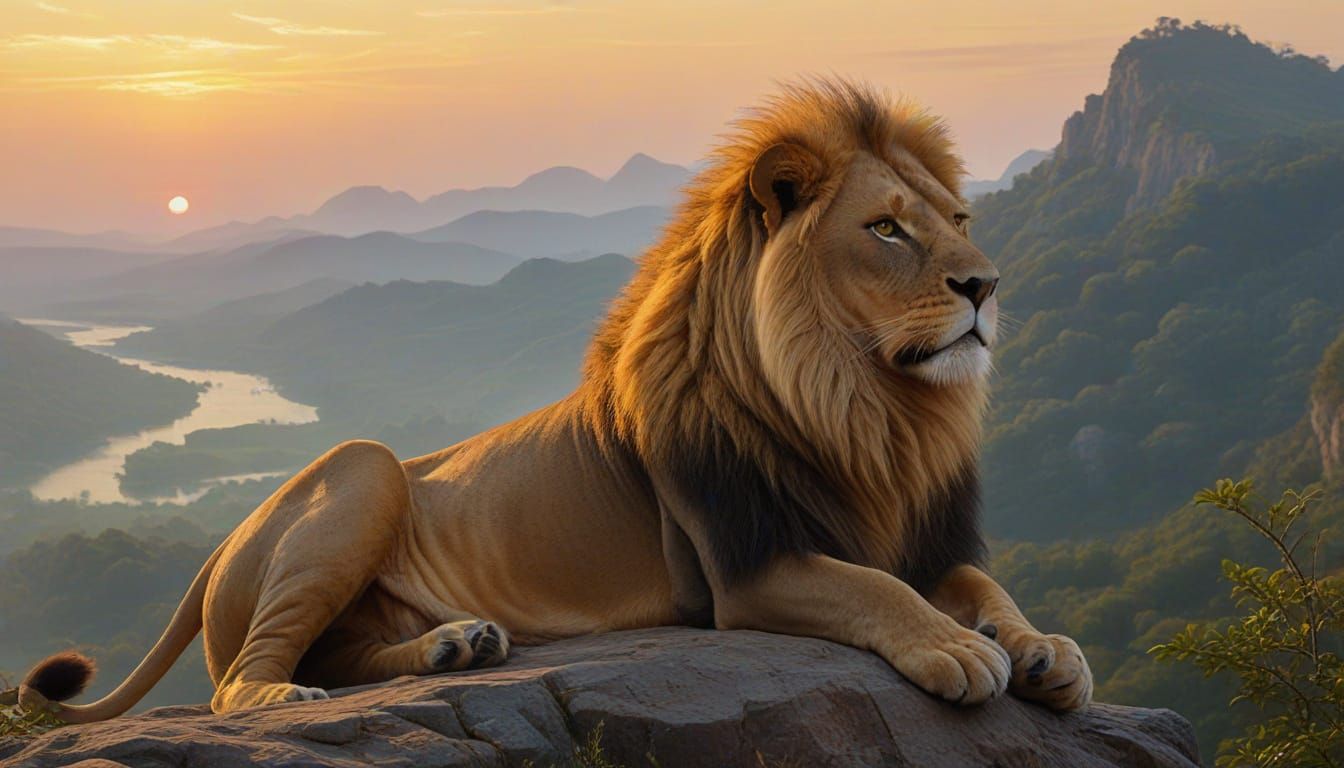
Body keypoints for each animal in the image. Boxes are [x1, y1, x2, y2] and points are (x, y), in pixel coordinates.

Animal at [17, 79, 1092, 723]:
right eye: (886, 230)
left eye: (958, 219)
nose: (987, 285)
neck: (869, 406)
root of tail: (222, 542)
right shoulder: (745, 570)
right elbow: (878, 591)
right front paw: (956, 652)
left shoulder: (921, 537)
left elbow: (984, 587)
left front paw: (1048, 651)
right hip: (359, 471)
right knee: (246, 679)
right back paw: (298, 704)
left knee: (344, 658)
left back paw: (459, 645)